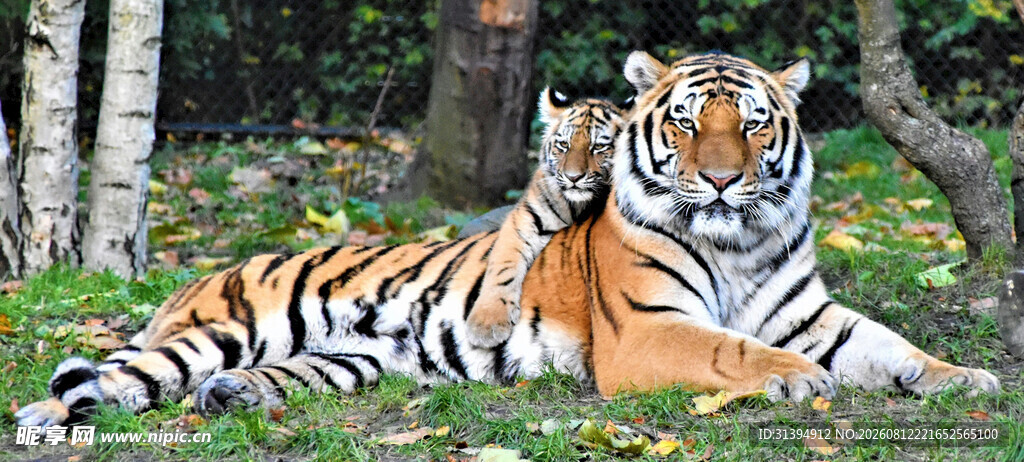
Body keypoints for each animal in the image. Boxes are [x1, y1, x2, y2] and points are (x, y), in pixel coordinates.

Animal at [464, 87, 630, 348]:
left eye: (598, 147)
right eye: (563, 144)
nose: (573, 177)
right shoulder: (525, 219)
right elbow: (502, 266)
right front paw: (486, 324)